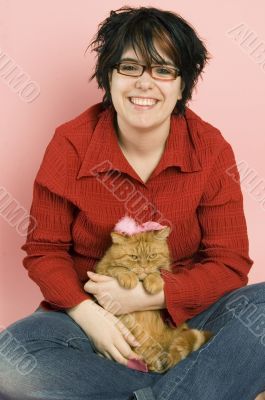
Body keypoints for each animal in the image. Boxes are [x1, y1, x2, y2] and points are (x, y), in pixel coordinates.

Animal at [94, 220, 211, 374]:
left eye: (152, 256)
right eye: (134, 257)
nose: (144, 267)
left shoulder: (165, 270)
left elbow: (157, 272)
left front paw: (154, 281)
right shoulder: (102, 269)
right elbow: (117, 268)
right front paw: (128, 276)